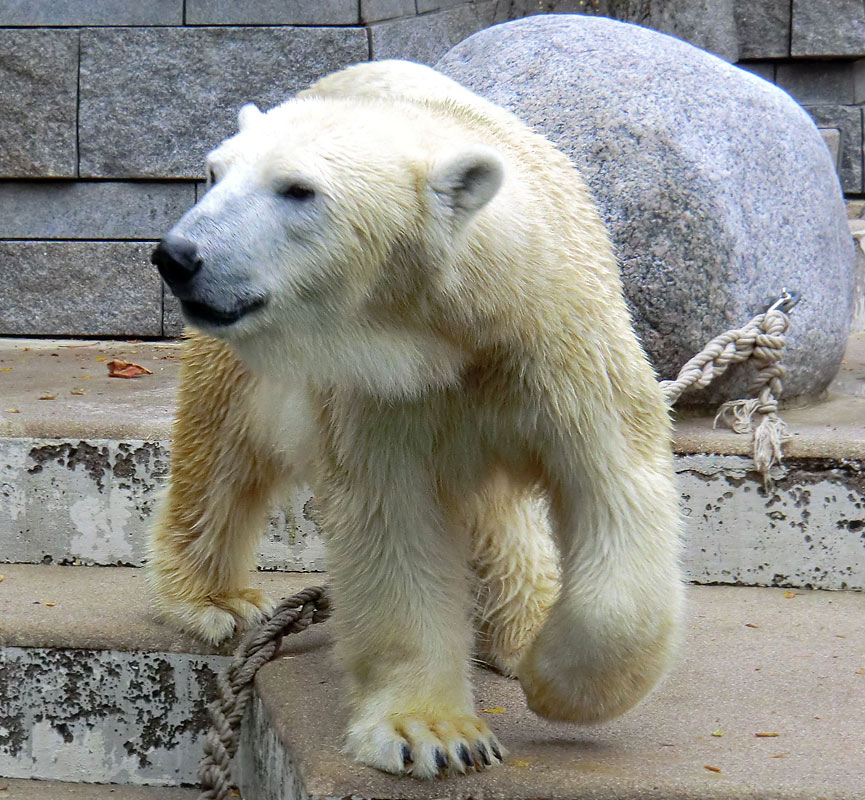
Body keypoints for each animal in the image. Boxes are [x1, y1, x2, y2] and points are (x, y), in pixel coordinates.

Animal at [150, 59, 688, 780]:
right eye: (214, 172)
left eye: (298, 189)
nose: (178, 255)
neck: (450, 328)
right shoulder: (372, 394)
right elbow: (392, 526)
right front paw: (433, 731)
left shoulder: (561, 348)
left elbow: (615, 489)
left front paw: (553, 679)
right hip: (245, 356)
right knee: (223, 449)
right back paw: (216, 603)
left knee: (500, 518)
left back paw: (521, 628)